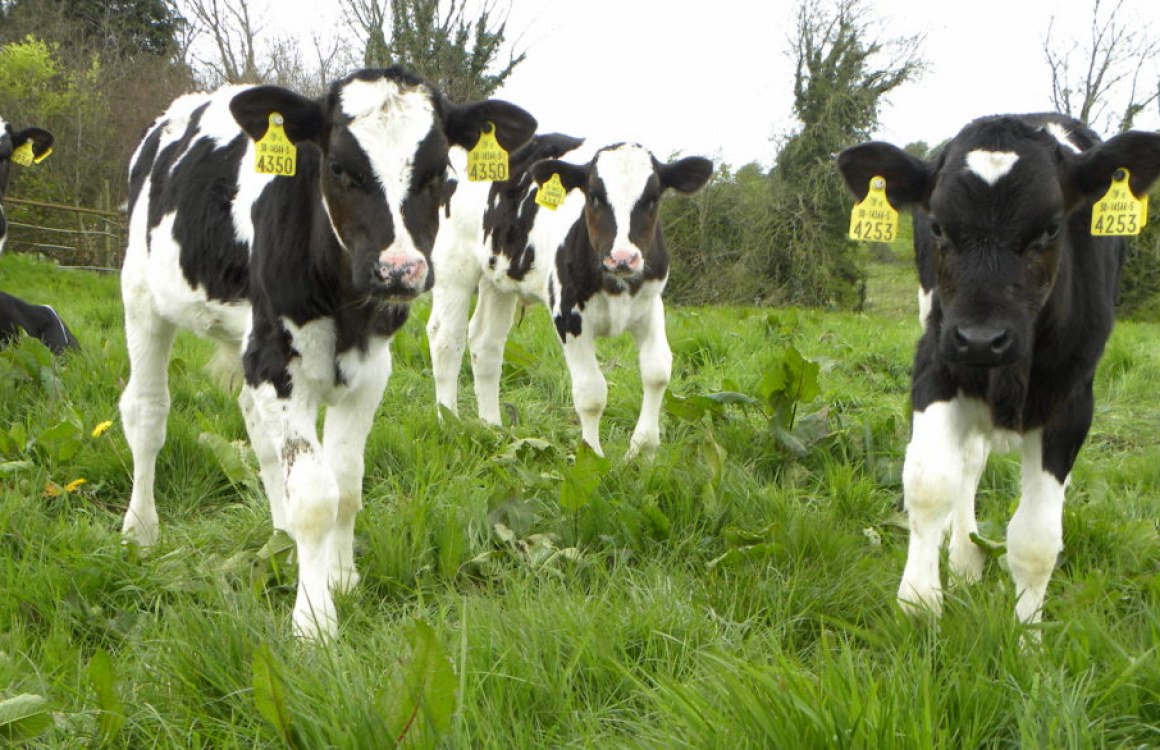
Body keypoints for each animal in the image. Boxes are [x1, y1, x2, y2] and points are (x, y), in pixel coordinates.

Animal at [118, 67, 536, 639]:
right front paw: (314, 621)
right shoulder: (277, 361)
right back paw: (140, 530)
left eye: (439, 173)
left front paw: (339, 577)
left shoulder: (369, 369)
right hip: (142, 297)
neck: (345, 305)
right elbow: (317, 496)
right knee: (146, 414)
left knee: (261, 435)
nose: (398, 270)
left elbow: (346, 483)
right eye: (338, 167)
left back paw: (280, 535)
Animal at [426, 137, 713, 457]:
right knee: (446, 340)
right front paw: (592, 455)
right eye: (594, 196)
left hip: (497, 277)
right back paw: (450, 424)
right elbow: (591, 393)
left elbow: (658, 372)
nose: (622, 258)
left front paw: (644, 451)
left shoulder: (650, 306)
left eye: (652, 199)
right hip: (453, 265)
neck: (615, 285)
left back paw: (493, 428)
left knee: (485, 344)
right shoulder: (569, 315)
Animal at [838, 113, 1160, 628]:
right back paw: (964, 562)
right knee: (969, 462)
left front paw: (1028, 636)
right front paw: (919, 606)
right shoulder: (934, 364)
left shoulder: (1073, 404)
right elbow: (930, 484)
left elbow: (1036, 539)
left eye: (1051, 228)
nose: (980, 338)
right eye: (937, 227)